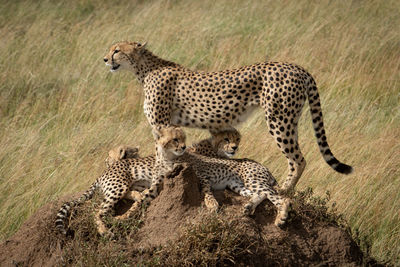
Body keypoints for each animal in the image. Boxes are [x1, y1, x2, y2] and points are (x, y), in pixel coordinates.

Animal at [103, 40, 354, 194]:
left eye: (117, 50)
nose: (105, 59)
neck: (144, 69)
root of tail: (297, 67)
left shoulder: (161, 124)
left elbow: (159, 155)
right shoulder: (171, 127)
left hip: (279, 119)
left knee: (298, 159)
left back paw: (283, 190)